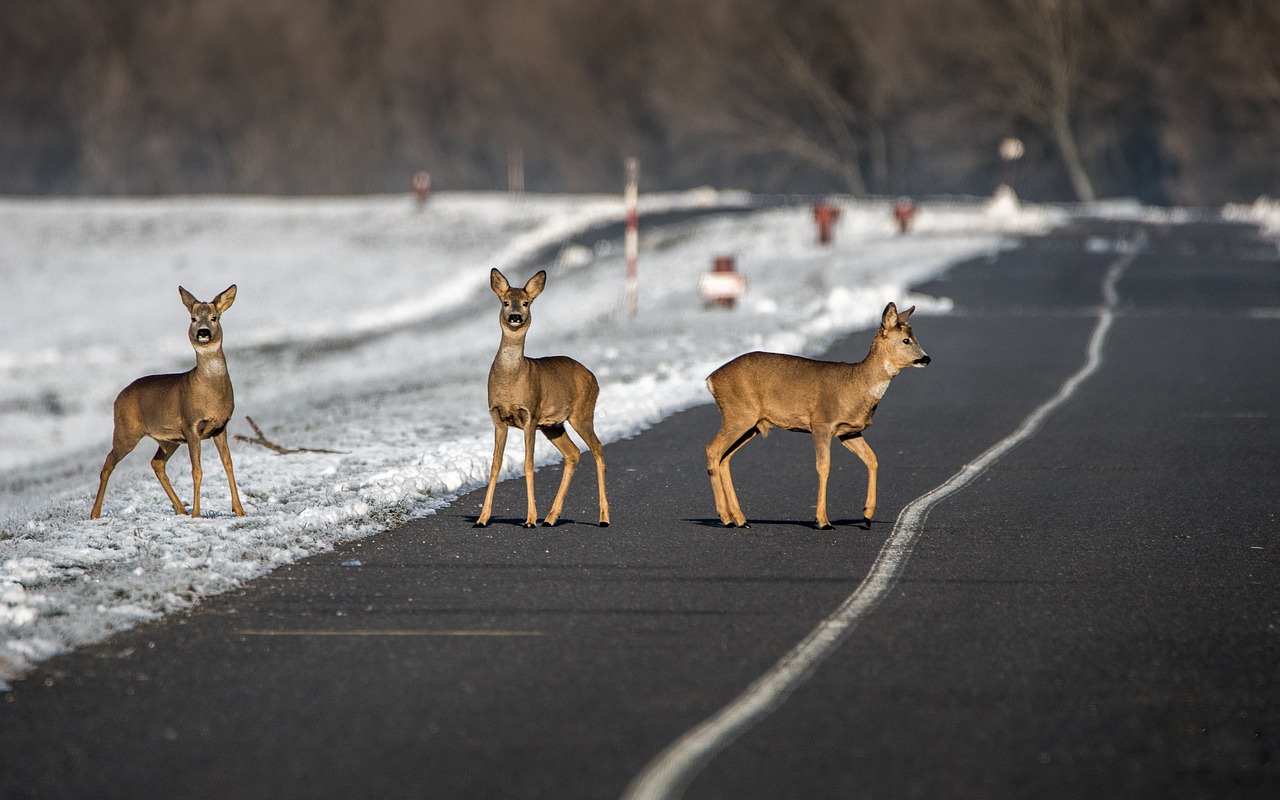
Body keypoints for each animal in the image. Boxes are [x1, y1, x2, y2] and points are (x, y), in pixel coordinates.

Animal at [88, 284, 245, 522]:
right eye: (193, 318)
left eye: (214, 317)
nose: (203, 332)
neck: (209, 391)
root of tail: (117, 398)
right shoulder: (191, 426)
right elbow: (197, 470)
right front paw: (197, 514)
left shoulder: (221, 427)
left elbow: (228, 464)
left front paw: (240, 510)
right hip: (126, 431)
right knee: (107, 463)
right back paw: (94, 514)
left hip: (168, 439)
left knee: (156, 463)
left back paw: (180, 509)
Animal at [476, 270, 609, 529]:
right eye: (505, 302)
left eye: (526, 302)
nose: (515, 316)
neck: (511, 380)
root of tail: (592, 376)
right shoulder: (497, 418)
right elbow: (495, 465)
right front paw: (482, 519)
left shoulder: (531, 416)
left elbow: (528, 465)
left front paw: (529, 519)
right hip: (554, 425)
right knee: (573, 453)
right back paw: (550, 517)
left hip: (582, 413)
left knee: (597, 448)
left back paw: (604, 518)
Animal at [701, 302, 931, 527]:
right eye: (906, 340)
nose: (926, 358)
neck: (856, 384)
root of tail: (710, 379)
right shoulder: (822, 423)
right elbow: (824, 466)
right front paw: (823, 520)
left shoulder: (848, 432)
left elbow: (872, 459)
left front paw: (867, 516)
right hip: (739, 414)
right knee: (712, 449)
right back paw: (726, 518)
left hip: (752, 424)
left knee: (725, 457)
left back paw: (739, 519)